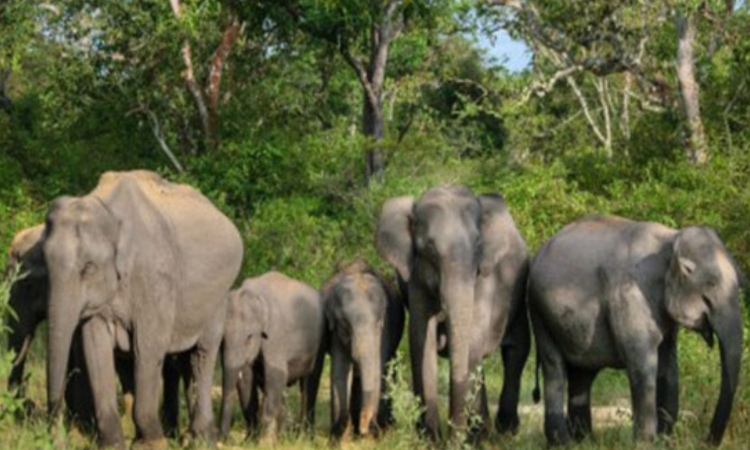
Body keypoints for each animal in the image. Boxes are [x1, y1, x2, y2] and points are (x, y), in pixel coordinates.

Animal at [42, 170, 243, 448]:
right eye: (45, 264)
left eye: (88, 268)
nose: (58, 437)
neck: (108, 211)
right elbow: (95, 347)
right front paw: (113, 444)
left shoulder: (154, 278)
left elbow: (147, 347)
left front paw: (151, 443)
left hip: (218, 297)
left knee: (202, 353)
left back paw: (201, 440)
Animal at [220, 271, 325, 443]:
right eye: (222, 340)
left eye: (249, 337)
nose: (225, 439)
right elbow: (246, 381)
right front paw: (250, 440)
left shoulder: (276, 334)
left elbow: (276, 374)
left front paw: (265, 442)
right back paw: (284, 435)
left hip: (320, 341)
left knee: (310, 382)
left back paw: (305, 437)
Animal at [318, 260, 405, 440]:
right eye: (346, 325)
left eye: (379, 323)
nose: (365, 427)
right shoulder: (335, 332)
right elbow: (340, 369)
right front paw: (339, 437)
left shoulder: (385, 329)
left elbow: (379, 367)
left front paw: (374, 436)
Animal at [376, 186, 531, 440]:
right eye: (429, 249)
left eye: (478, 245)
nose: (451, 439)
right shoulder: (416, 278)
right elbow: (421, 338)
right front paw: (429, 438)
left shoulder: (484, 275)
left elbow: (472, 339)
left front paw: (467, 438)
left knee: (515, 351)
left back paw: (503, 432)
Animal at [527, 215, 744, 446]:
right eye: (711, 285)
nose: (707, 441)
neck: (672, 239)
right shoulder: (629, 293)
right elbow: (642, 362)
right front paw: (645, 443)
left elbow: (668, 364)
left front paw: (664, 441)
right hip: (540, 312)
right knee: (554, 368)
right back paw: (562, 443)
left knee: (582, 375)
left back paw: (584, 441)